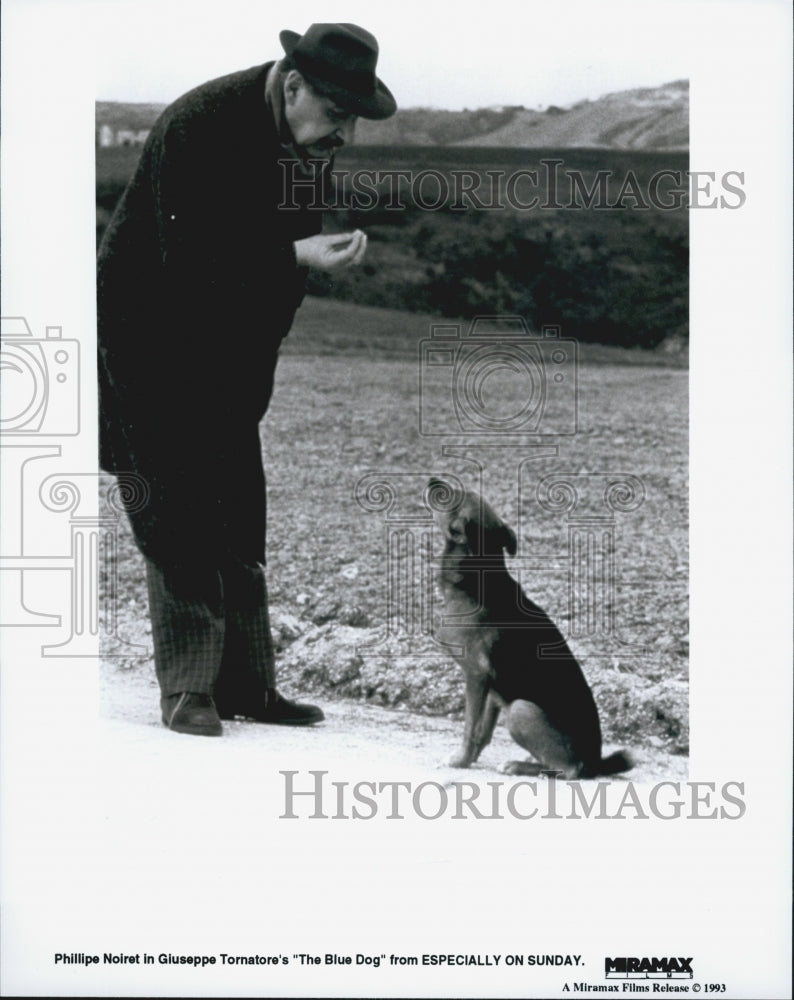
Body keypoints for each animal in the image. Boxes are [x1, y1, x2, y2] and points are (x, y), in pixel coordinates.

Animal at [426, 478, 632, 780]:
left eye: (451, 497)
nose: (433, 480)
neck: (479, 576)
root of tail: (594, 763)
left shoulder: (476, 676)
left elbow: (469, 728)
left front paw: (459, 760)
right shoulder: (492, 690)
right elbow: (482, 732)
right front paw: (469, 760)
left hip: (520, 710)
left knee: (569, 770)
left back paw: (520, 766)